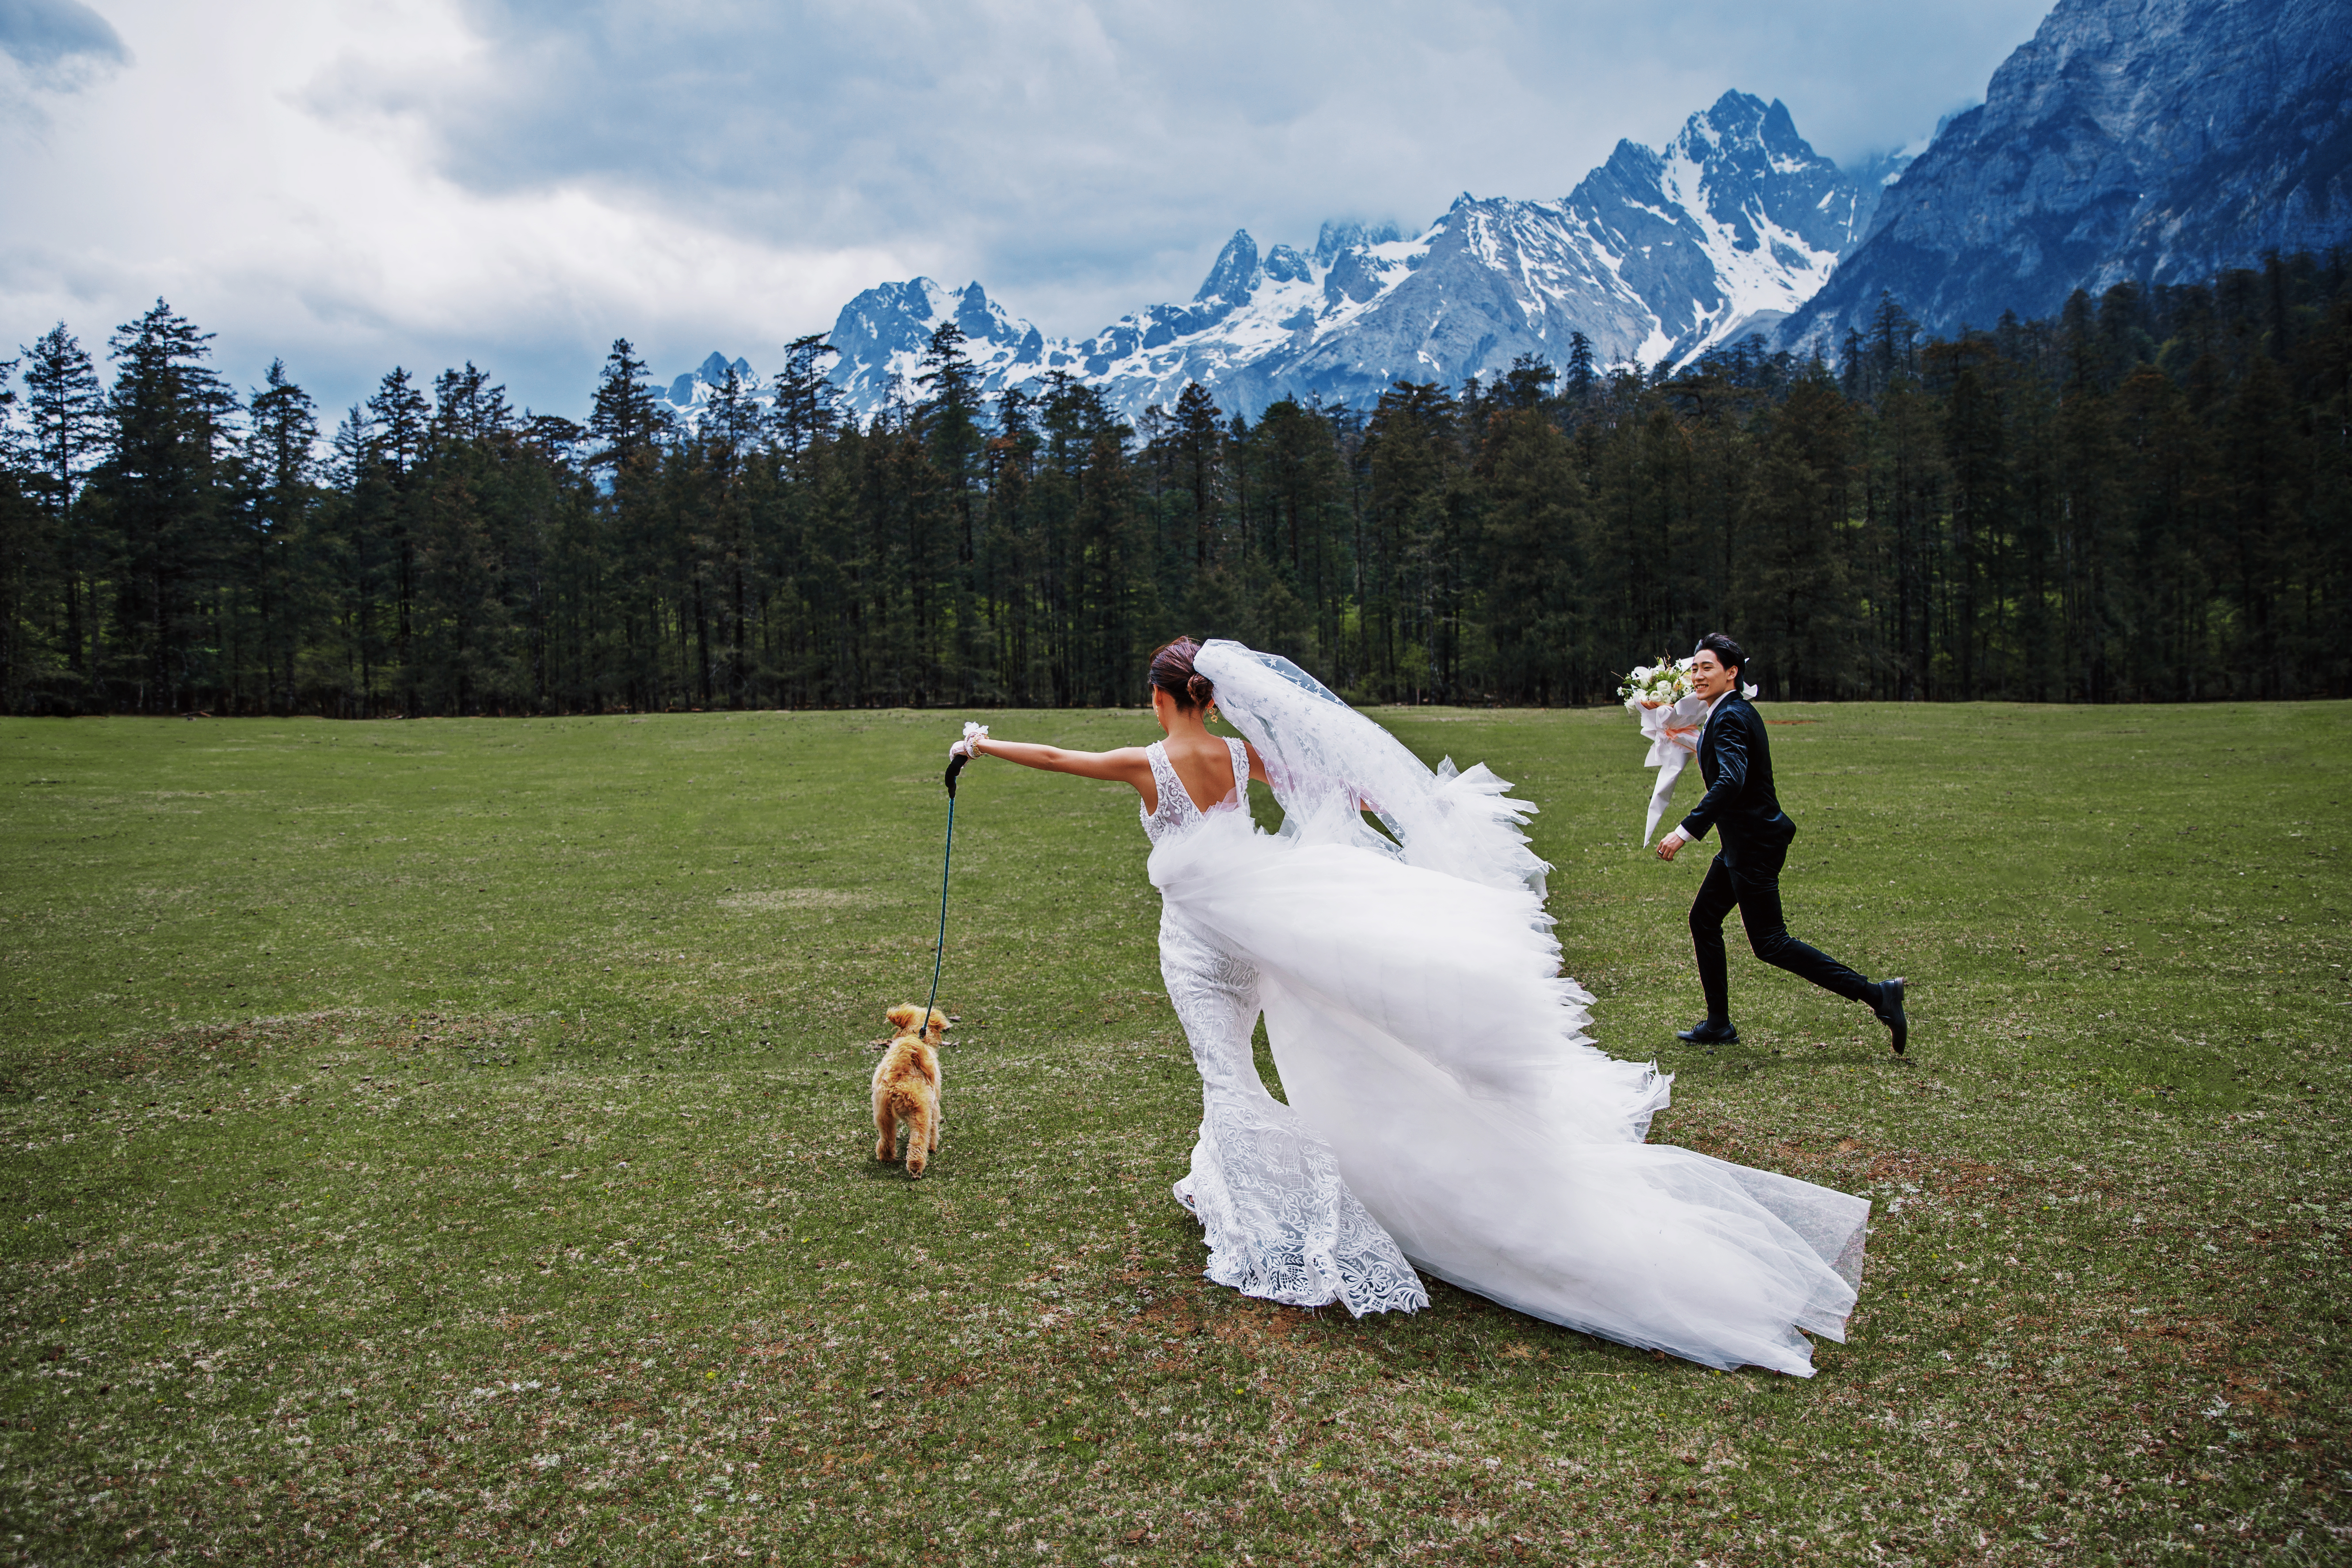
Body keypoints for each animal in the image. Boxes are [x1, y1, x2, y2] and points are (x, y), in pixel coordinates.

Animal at [875, 1006, 945, 1175]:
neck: (915, 1034)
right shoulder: (934, 1106)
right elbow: (934, 1129)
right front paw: (933, 1147)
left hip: (883, 1115)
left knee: (887, 1138)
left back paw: (886, 1157)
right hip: (920, 1114)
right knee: (918, 1142)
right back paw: (916, 1167)